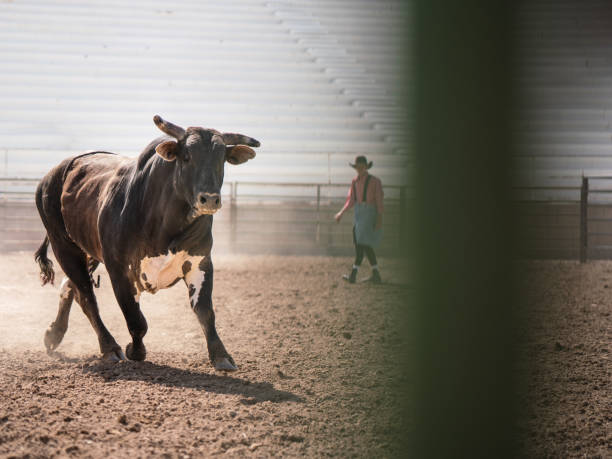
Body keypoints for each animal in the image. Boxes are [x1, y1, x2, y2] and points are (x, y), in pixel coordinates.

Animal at [32, 117, 260, 372]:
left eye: (221, 158)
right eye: (187, 156)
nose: (209, 199)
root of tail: (53, 175)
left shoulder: (200, 262)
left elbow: (205, 312)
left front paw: (221, 356)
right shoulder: (119, 269)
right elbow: (136, 319)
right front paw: (135, 350)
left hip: (87, 251)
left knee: (71, 289)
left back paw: (54, 334)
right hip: (63, 245)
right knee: (87, 296)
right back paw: (109, 348)